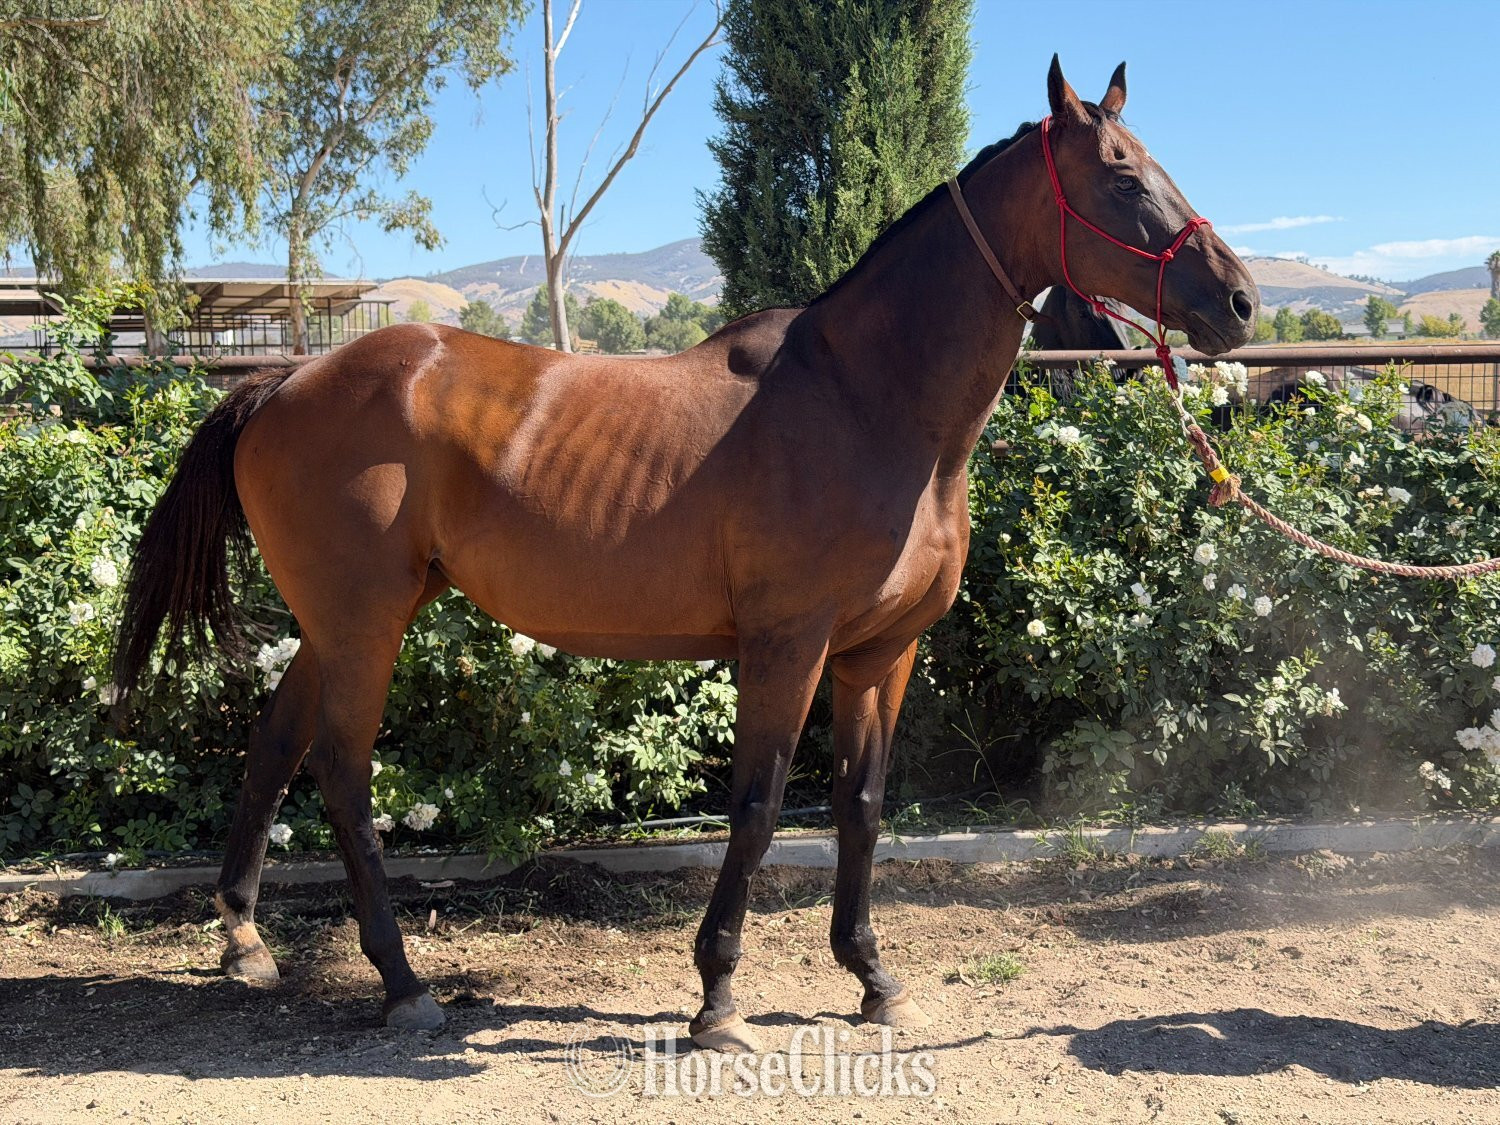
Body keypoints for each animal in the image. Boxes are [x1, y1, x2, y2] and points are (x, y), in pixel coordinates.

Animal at [113, 57, 1257, 1050]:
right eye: (1121, 175)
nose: (1240, 299)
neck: (869, 400)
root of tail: (286, 381)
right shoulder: (787, 645)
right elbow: (756, 809)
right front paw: (717, 996)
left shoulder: (879, 654)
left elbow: (861, 807)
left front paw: (871, 977)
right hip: (365, 623)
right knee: (344, 776)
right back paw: (402, 983)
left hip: (338, 621)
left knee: (274, 746)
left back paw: (244, 942)